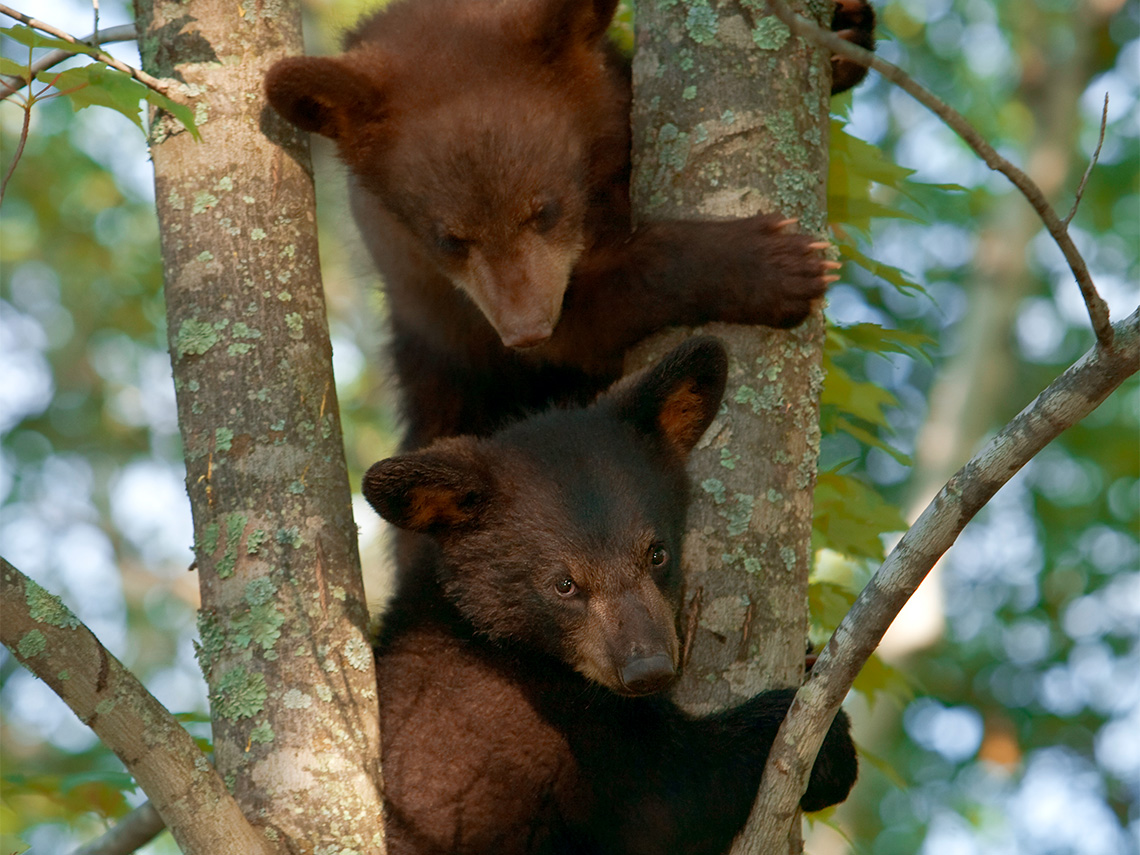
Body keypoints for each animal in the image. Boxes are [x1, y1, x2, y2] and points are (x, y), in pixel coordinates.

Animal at [264, 0, 875, 448]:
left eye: (546, 210)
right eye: (449, 238)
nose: (525, 329)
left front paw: (845, 31)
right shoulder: (428, 281)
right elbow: (592, 319)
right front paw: (773, 265)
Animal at [362, 337, 858, 855]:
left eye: (657, 553)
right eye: (564, 584)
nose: (648, 669)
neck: (508, 649)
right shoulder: (503, 744)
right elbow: (664, 799)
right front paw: (822, 744)